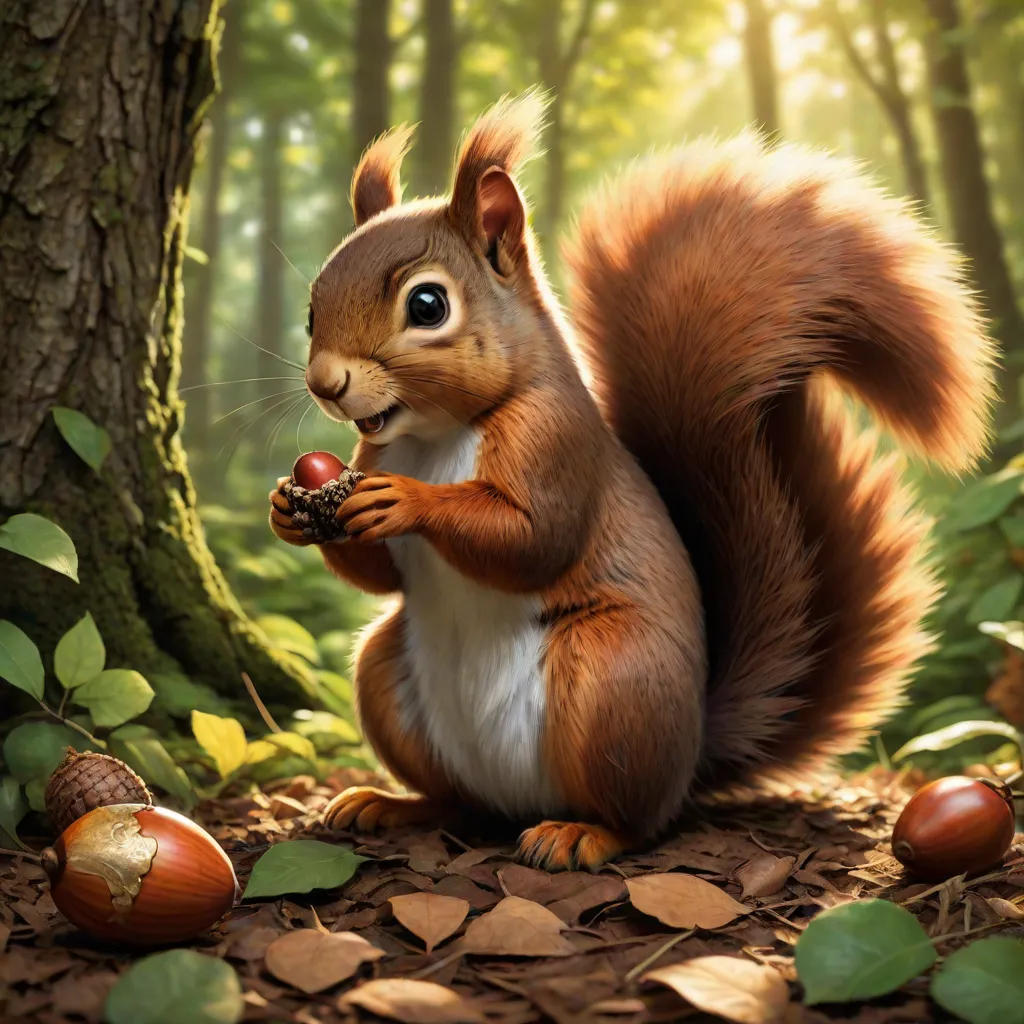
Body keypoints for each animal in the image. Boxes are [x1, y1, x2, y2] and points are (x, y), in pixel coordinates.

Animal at [269, 93, 994, 870]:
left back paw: (581, 834)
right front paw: (289, 509)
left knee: (641, 819)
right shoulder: (374, 454)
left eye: (428, 305)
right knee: (456, 798)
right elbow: (380, 576)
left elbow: (532, 539)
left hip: (611, 681)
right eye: (310, 310)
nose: (326, 384)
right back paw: (393, 804)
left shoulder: (557, 444)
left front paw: (409, 501)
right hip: (390, 676)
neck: (437, 434)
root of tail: (691, 755)